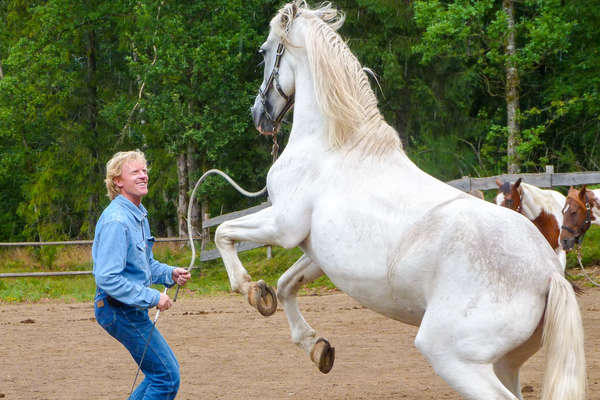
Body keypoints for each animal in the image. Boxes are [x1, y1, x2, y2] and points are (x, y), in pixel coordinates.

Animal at [214, 1, 584, 398]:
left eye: (264, 51)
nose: (259, 116)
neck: (333, 145)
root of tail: (548, 273)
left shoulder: (282, 225)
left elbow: (223, 233)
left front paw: (251, 290)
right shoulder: (314, 252)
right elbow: (285, 285)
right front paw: (316, 346)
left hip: (452, 357)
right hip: (505, 364)